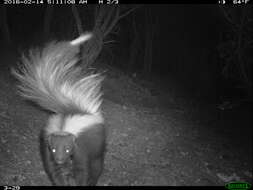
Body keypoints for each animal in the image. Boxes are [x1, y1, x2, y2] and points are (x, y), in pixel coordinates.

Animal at [11, 33, 106, 186]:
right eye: (54, 149)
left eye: (67, 149)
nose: (60, 159)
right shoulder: (46, 146)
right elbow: (54, 170)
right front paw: (63, 181)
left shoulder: (81, 148)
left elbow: (82, 169)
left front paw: (82, 182)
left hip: (99, 143)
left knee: (97, 163)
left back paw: (93, 179)